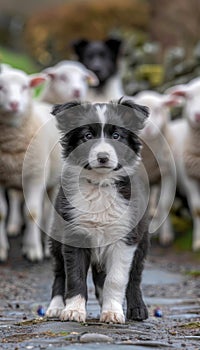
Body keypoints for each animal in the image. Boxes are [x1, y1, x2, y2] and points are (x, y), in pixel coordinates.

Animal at [0, 67, 60, 260]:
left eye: (25, 87)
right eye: (1, 87)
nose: (14, 104)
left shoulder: (35, 176)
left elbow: (32, 213)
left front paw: (33, 250)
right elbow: (1, 213)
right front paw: (1, 250)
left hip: (54, 180)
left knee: (49, 211)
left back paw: (48, 246)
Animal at [46, 97, 150, 324]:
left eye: (116, 136)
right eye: (87, 136)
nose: (103, 157)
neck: (100, 185)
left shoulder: (126, 237)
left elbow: (116, 279)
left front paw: (112, 312)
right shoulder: (73, 233)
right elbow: (74, 276)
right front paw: (73, 310)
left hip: (143, 239)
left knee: (134, 276)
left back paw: (136, 308)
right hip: (57, 235)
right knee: (59, 273)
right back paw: (56, 306)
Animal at [134, 90, 179, 246]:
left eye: (159, 109)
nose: (147, 128)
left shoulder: (168, 174)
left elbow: (165, 203)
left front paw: (166, 235)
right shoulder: (140, 178)